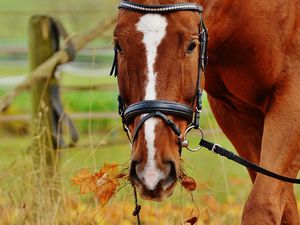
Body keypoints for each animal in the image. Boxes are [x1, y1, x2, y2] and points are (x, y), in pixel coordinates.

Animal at [112, 0, 300, 224]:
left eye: (192, 45)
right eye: (119, 45)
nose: (151, 172)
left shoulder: (292, 96)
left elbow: (262, 205)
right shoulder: (235, 111)